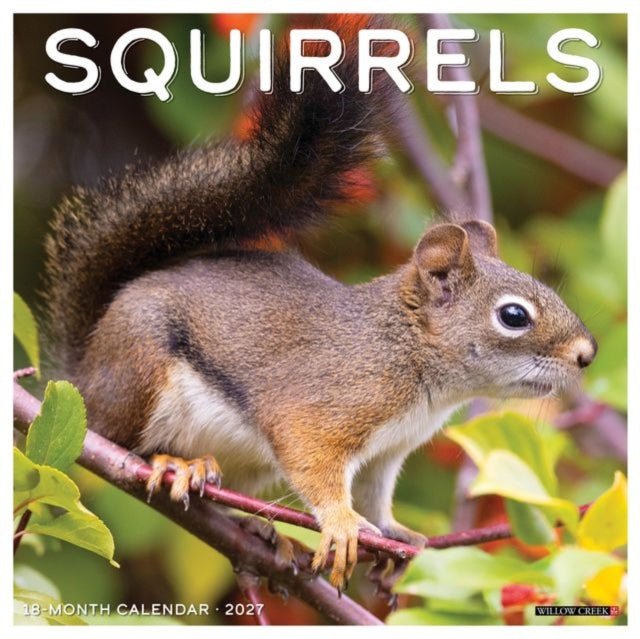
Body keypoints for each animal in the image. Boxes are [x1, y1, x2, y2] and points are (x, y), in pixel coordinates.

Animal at [42, 17, 597, 590]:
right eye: (513, 316)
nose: (586, 354)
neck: (411, 357)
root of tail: (82, 369)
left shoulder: (385, 455)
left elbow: (375, 499)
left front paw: (399, 537)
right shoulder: (323, 410)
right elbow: (316, 465)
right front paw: (341, 523)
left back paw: (259, 529)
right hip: (140, 372)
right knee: (122, 439)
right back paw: (178, 464)